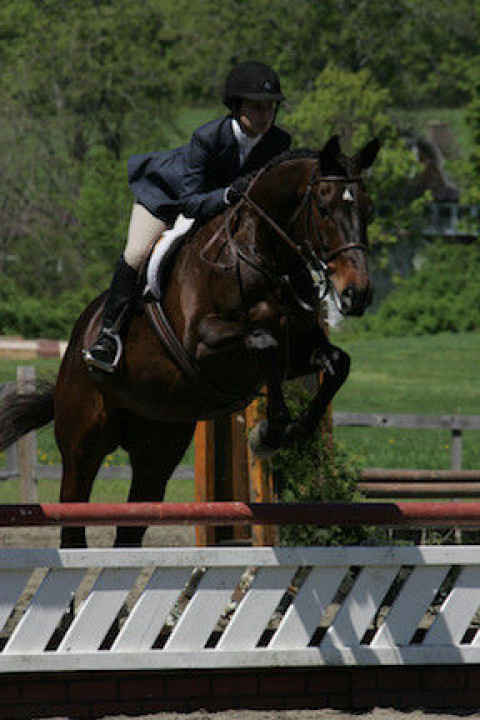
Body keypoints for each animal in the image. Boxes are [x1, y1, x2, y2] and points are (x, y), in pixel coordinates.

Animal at [0, 134, 378, 544]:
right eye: (323, 209)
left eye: (368, 210)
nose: (357, 295)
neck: (262, 258)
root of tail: (75, 347)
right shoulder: (203, 345)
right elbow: (265, 342)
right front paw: (270, 431)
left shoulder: (299, 352)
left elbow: (337, 362)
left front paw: (291, 429)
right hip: (82, 444)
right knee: (74, 514)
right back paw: (103, 349)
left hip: (157, 450)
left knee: (132, 524)